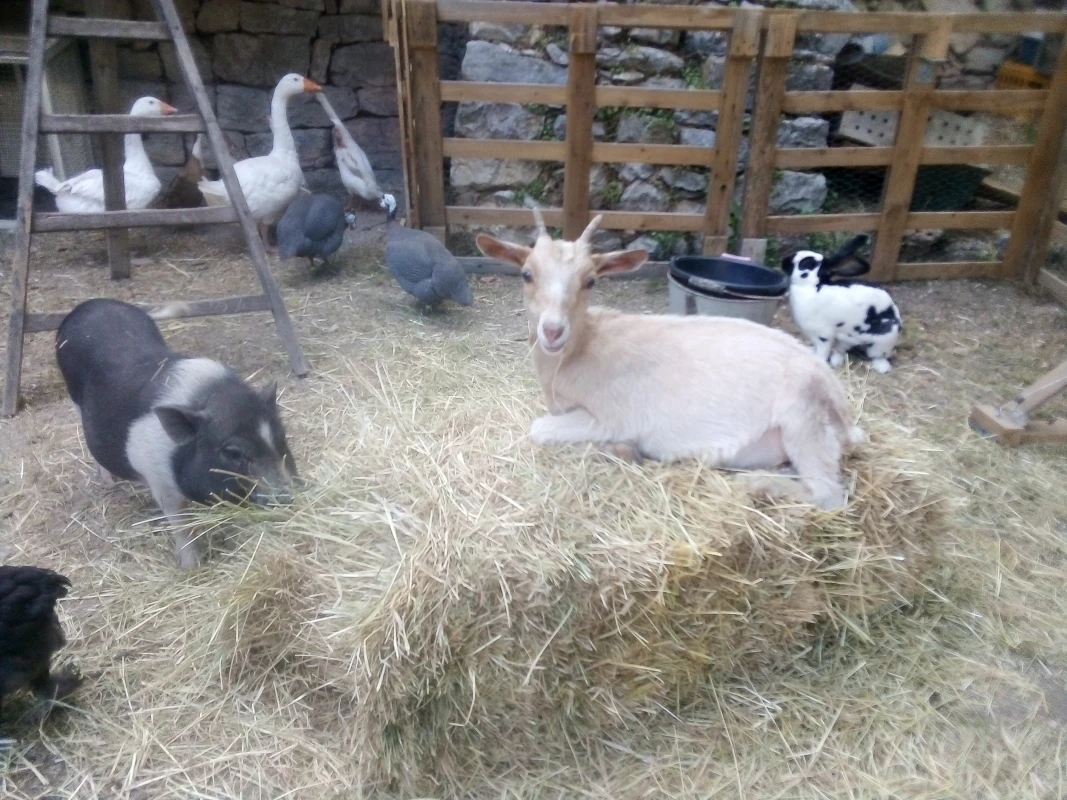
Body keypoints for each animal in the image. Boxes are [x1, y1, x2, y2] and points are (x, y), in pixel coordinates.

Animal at [55, 299, 299, 568]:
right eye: (233, 452)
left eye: (281, 437)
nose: (287, 496)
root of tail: (88, 305)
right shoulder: (161, 483)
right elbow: (182, 526)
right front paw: (191, 567)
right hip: (74, 398)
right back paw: (108, 482)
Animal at [476, 211, 865, 509]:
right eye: (527, 274)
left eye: (590, 280)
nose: (553, 331)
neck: (581, 350)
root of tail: (844, 411)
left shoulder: (610, 418)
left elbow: (539, 429)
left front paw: (624, 450)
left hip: (804, 419)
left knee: (829, 493)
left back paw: (758, 485)